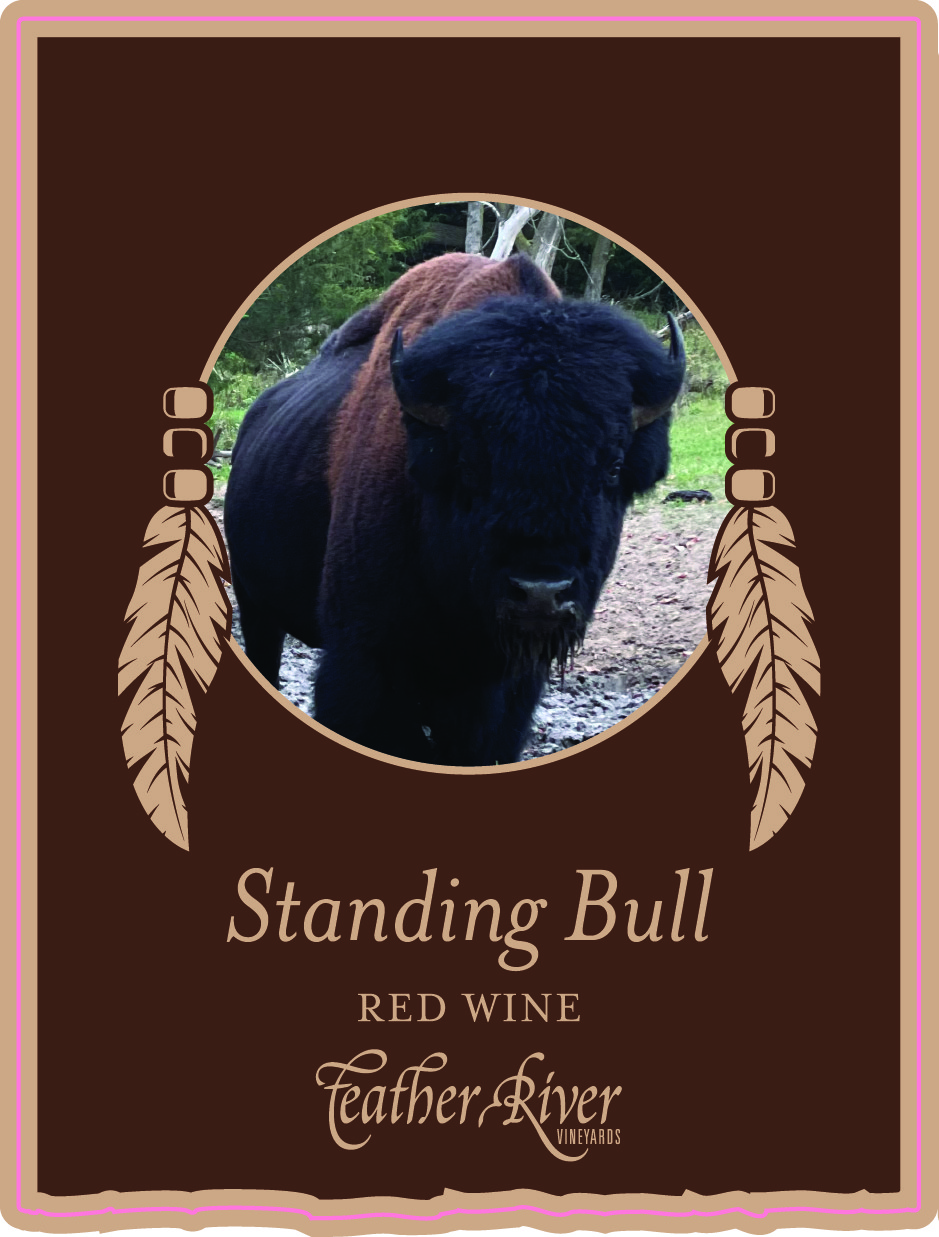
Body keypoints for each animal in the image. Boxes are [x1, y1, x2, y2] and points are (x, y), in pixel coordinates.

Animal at [224, 251, 685, 766]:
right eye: (469, 461)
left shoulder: (507, 689)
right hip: (255, 605)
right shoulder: (362, 657)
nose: (540, 592)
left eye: (613, 465)